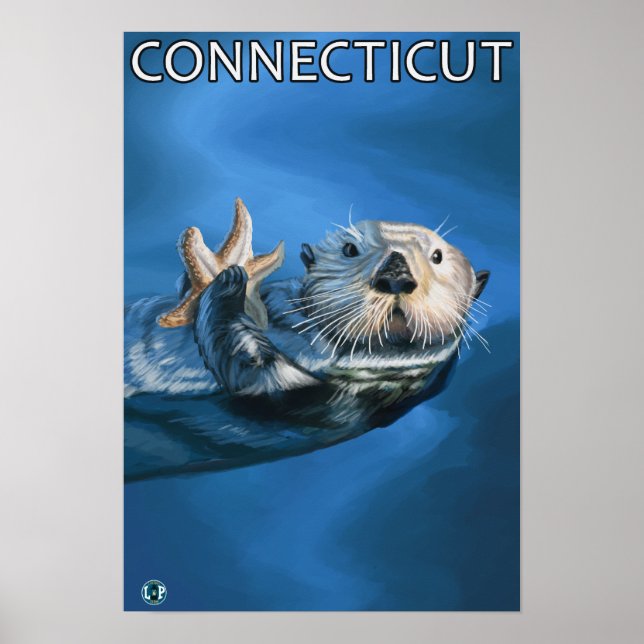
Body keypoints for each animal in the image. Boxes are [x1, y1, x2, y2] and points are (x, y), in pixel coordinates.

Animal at [124, 199, 489, 480]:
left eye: (437, 256)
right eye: (349, 249)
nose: (395, 275)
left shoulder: (328, 402)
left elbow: (255, 371)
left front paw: (228, 280)